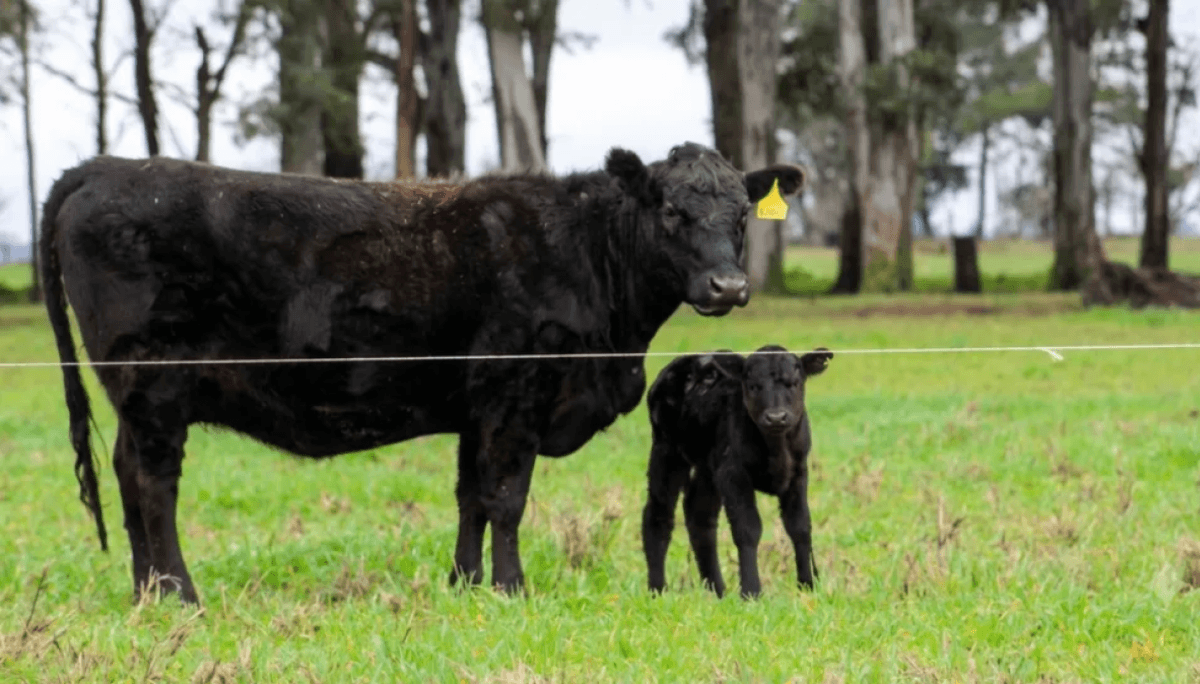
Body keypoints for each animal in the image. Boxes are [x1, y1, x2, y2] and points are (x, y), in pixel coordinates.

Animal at [40, 143, 805, 605]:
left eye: (742, 213)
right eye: (671, 209)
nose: (729, 286)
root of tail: (106, 165)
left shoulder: (475, 410)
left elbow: (470, 497)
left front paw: (464, 582)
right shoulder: (513, 396)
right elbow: (506, 498)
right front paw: (511, 588)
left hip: (137, 400)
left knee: (127, 478)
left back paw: (146, 591)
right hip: (155, 386)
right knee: (152, 486)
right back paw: (180, 593)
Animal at [641, 345, 833, 598]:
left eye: (794, 383)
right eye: (752, 386)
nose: (776, 417)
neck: (777, 449)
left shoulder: (798, 472)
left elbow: (800, 525)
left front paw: (807, 586)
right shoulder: (733, 473)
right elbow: (748, 528)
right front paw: (751, 591)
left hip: (708, 467)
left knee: (699, 516)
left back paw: (717, 591)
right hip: (667, 451)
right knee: (658, 514)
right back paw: (657, 590)